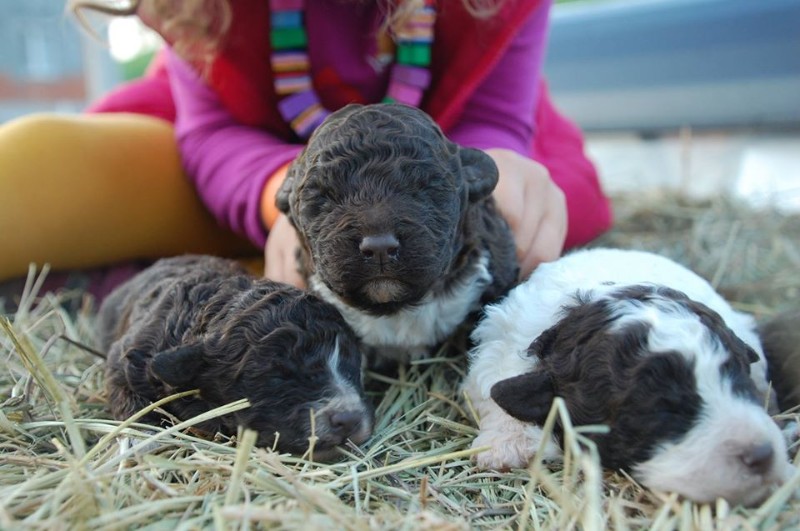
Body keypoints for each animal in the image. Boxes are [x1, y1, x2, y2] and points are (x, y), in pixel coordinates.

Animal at [98, 256, 374, 460]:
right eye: (278, 376)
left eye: (353, 367)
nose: (349, 419)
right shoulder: (126, 362)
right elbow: (133, 405)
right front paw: (141, 441)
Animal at [462, 249, 792, 508]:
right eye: (661, 409)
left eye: (739, 380)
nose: (762, 454)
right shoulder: (500, 342)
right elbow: (496, 386)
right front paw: (506, 446)